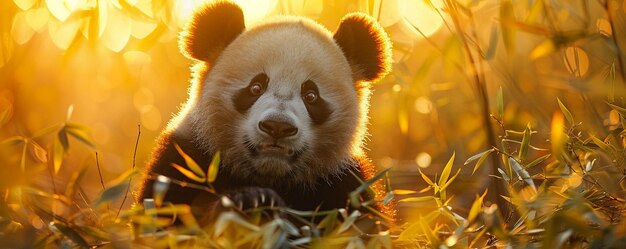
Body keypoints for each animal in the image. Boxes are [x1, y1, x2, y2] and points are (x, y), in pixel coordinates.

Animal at [141, 0, 392, 224]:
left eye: (311, 95)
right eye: (256, 87)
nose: (277, 127)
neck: (270, 174)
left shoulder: (345, 183)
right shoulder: (184, 159)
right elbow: (165, 217)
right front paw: (251, 201)